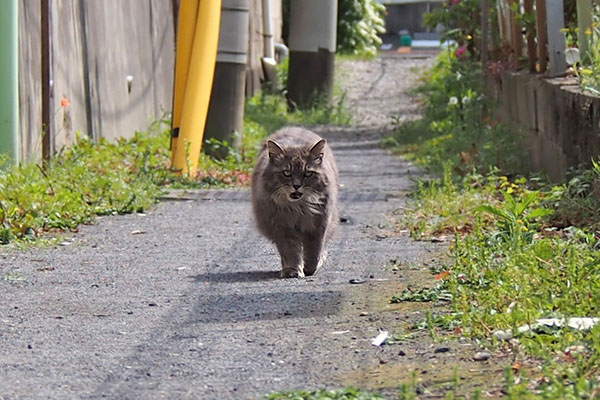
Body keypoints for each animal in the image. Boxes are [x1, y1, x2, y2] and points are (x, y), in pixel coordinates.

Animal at [251, 126, 340, 276]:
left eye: (308, 173)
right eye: (286, 173)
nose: (297, 185)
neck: (299, 208)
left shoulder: (318, 225)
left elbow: (314, 252)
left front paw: (310, 268)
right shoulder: (282, 227)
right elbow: (290, 252)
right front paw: (292, 270)